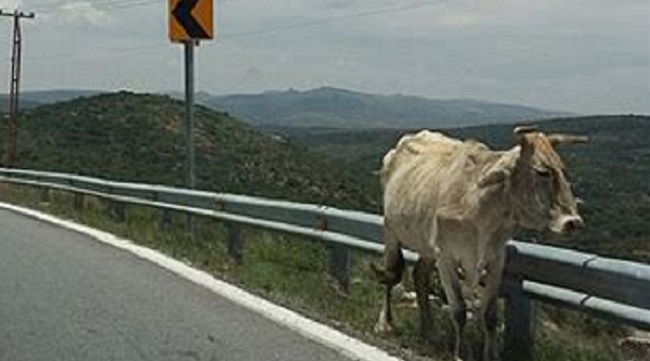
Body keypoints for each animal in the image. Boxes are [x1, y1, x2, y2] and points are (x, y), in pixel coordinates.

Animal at [372, 126, 584, 360]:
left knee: (419, 275)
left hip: (427, 246)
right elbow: (459, 310)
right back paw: (384, 324)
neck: (481, 206)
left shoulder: (496, 258)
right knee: (391, 275)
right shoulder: (445, 256)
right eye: (542, 172)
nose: (573, 222)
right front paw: (460, 353)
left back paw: (429, 332)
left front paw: (491, 355)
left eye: (563, 170)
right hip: (391, 231)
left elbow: (490, 315)